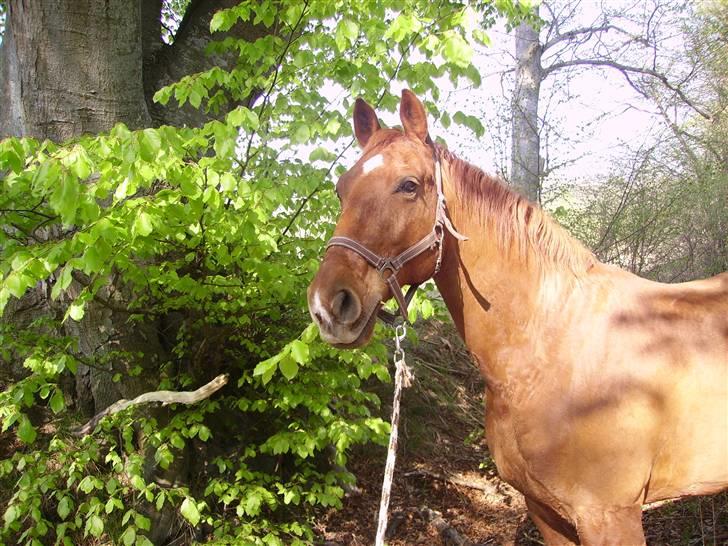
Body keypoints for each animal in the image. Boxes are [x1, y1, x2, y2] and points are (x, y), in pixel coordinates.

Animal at [308, 90, 728, 544]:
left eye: (409, 185)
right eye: (341, 190)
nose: (328, 305)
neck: (551, 346)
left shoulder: (610, 516)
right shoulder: (546, 511)